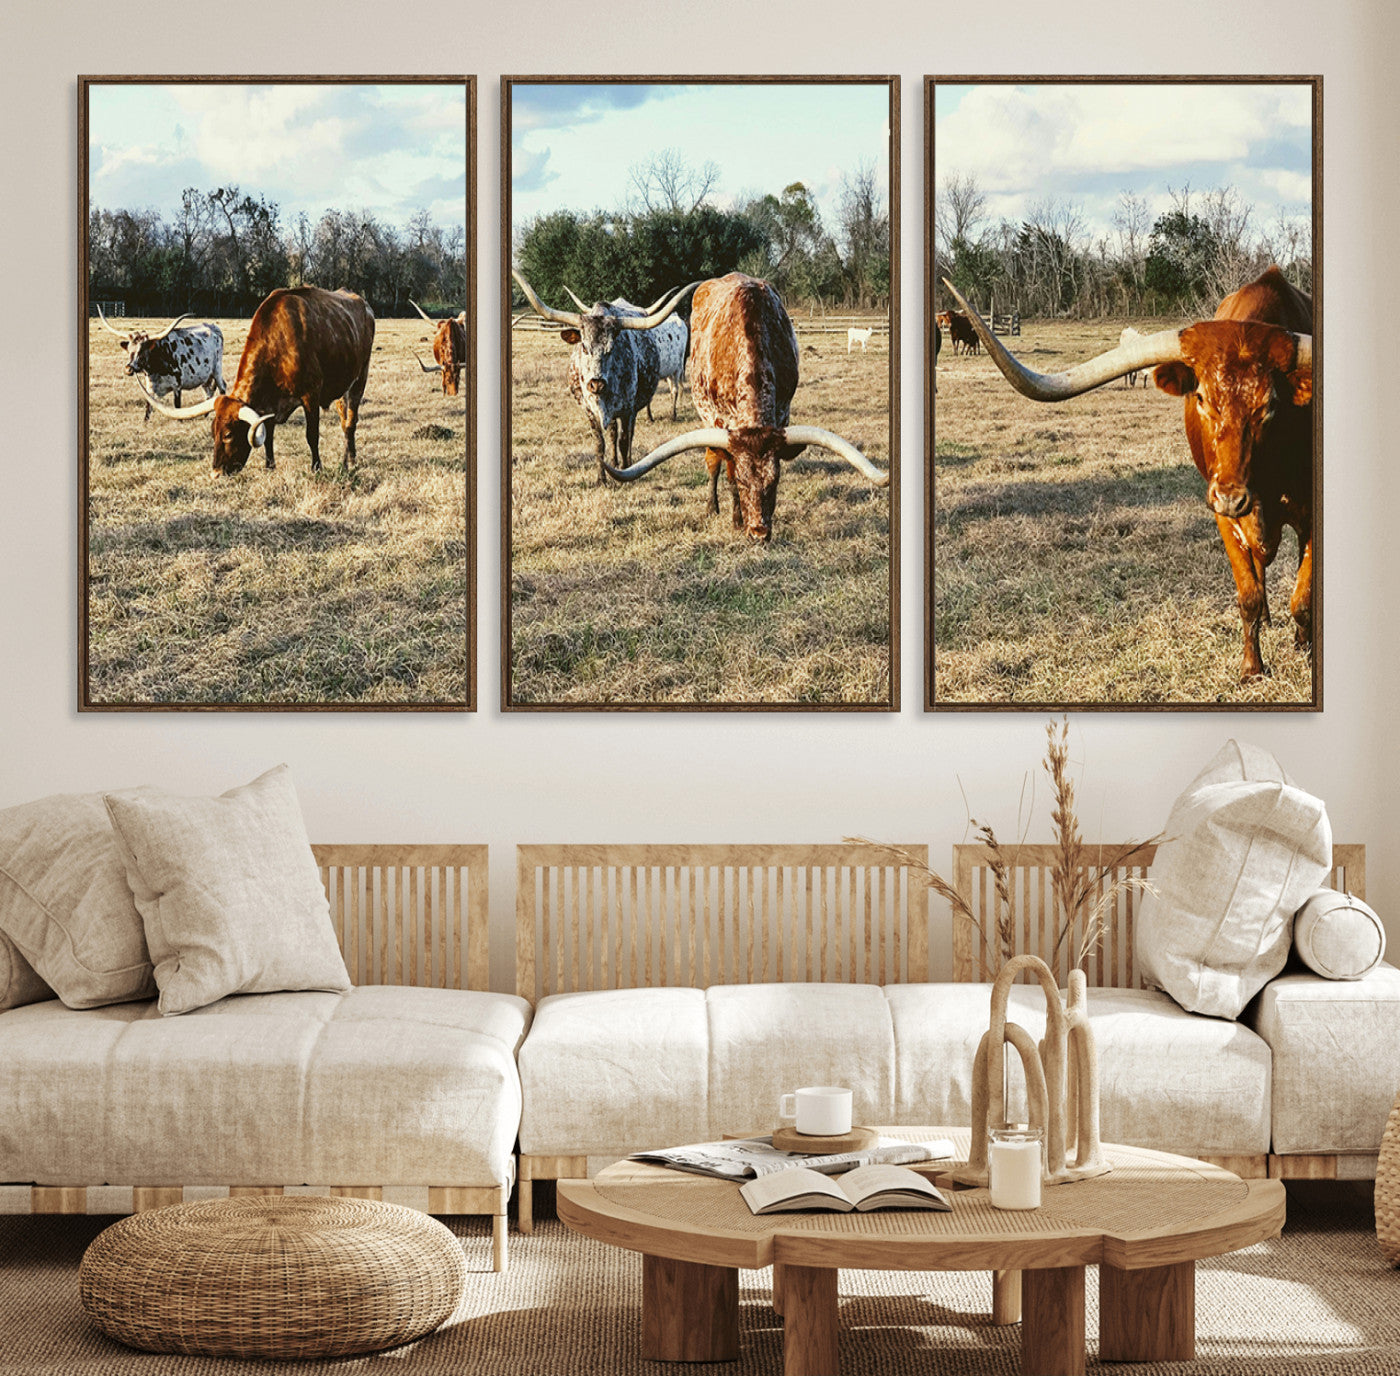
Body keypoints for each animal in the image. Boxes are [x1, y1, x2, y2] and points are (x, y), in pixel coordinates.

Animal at [96, 307, 226, 421]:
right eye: (129, 350)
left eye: (142, 351)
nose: (128, 369)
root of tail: (213, 327)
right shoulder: (149, 388)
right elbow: (148, 408)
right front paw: (145, 422)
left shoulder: (177, 386)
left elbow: (177, 408)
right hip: (205, 376)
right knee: (208, 392)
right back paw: (205, 415)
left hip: (217, 370)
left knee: (222, 387)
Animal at [134, 286, 375, 475]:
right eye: (212, 432)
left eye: (228, 435)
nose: (216, 473)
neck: (281, 342)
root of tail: (363, 304)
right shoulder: (269, 404)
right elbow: (267, 435)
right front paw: (270, 466)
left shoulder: (310, 396)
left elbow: (311, 435)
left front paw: (316, 468)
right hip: (341, 389)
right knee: (344, 421)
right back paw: (347, 459)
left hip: (359, 380)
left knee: (351, 422)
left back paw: (350, 462)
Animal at [512, 271, 696, 482]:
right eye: (584, 347)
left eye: (612, 348)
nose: (596, 384)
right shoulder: (589, 410)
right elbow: (600, 444)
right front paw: (602, 478)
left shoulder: (627, 409)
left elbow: (624, 440)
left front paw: (625, 471)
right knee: (613, 433)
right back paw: (614, 462)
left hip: (669, 375)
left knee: (637, 426)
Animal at [598, 272, 888, 542]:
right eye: (742, 480)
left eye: (775, 481)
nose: (759, 532)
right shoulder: (721, 424)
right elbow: (725, 470)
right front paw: (737, 519)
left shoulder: (782, 414)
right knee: (712, 462)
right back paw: (713, 507)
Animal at [942, 267, 1313, 682]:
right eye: (1201, 398)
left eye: (1269, 406)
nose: (1232, 496)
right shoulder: (1222, 515)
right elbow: (1248, 594)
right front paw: (1252, 667)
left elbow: (1303, 597)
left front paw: (1305, 648)